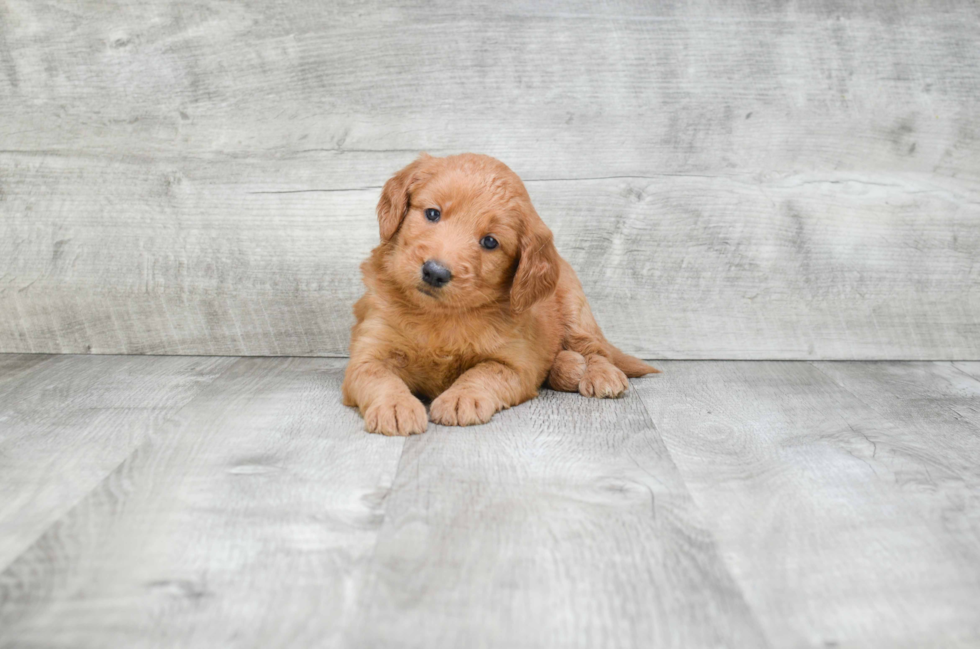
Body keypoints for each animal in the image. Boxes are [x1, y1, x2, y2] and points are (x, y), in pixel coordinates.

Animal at [342, 153, 660, 436]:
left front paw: (462, 398)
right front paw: (395, 406)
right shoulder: (369, 351)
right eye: (432, 213)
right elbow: (378, 376)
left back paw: (600, 374)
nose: (435, 272)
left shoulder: (515, 363)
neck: (439, 317)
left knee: (596, 349)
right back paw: (568, 367)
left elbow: (483, 373)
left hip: (575, 308)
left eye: (490, 242)